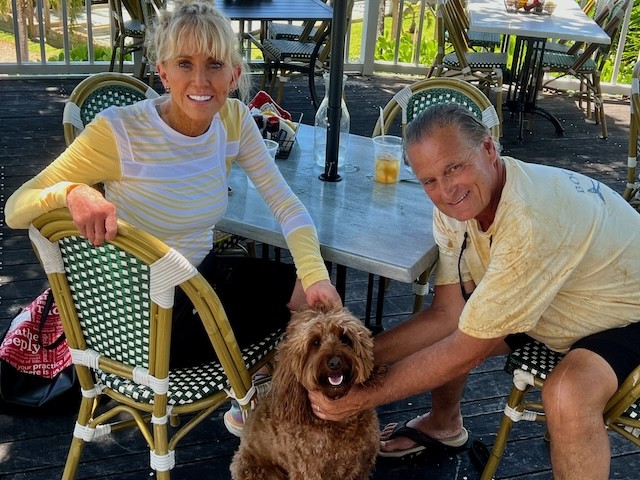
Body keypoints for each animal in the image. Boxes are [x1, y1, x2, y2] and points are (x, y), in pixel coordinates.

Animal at [230, 304, 383, 480]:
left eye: (345, 338)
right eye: (315, 342)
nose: (335, 362)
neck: (341, 424)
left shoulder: (362, 466)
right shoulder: (309, 470)